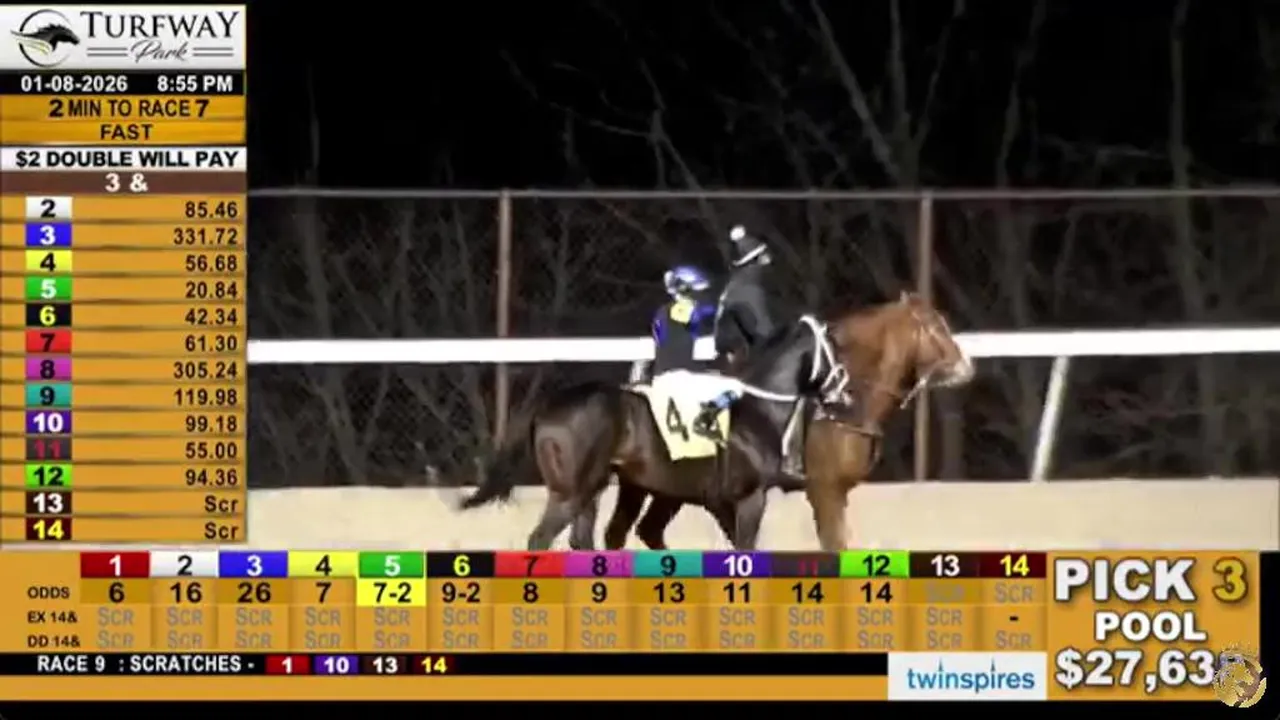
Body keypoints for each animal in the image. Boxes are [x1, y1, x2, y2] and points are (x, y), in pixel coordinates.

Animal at [457, 313, 849, 550]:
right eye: (835, 350)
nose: (844, 396)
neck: (756, 409)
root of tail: (547, 404)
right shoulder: (748, 498)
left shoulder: (710, 501)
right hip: (570, 491)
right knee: (540, 540)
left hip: (592, 488)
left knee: (581, 541)